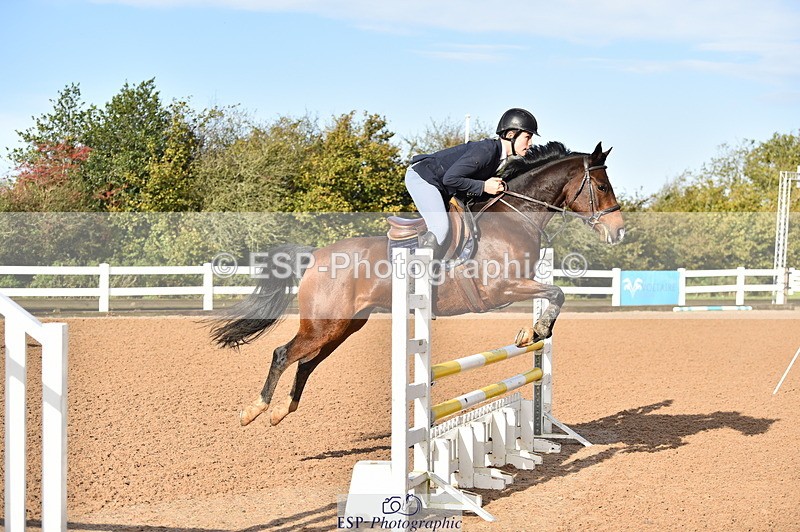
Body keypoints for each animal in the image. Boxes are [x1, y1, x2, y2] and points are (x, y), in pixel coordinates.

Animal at [210, 141, 625, 427]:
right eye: (602, 186)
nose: (618, 231)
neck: (515, 217)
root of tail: (315, 255)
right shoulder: (500, 290)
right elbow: (557, 291)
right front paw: (534, 330)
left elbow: (554, 294)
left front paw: (534, 332)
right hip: (323, 324)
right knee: (284, 354)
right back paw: (255, 410)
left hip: (342, 326)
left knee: (306, 364)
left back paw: (281, 412)